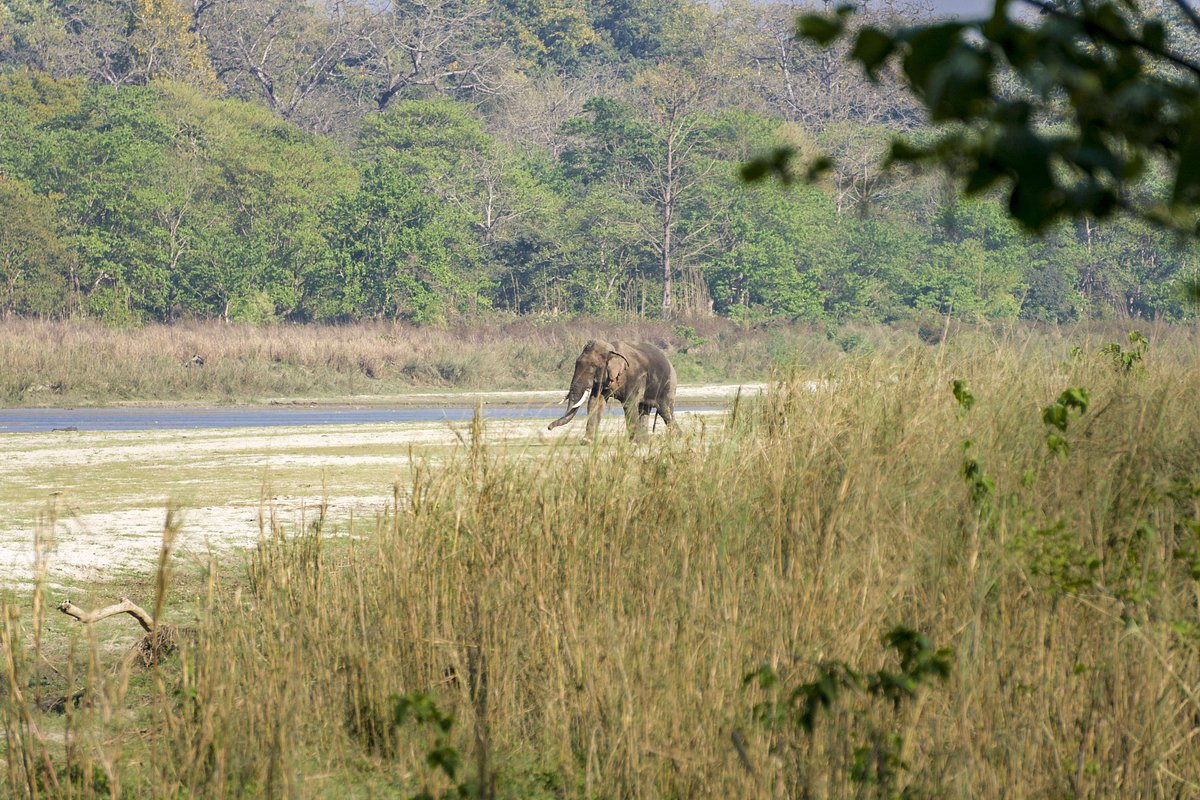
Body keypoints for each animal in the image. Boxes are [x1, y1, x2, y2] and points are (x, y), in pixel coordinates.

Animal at [547, 339, 677, 441]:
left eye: (592, 366)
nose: (549, 427)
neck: (612, 349)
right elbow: (595, 402)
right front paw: (587, 441)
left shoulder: (636, 376)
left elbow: (629, 404)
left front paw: (634, 441)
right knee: (645, 409)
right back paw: (647, 440)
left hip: (668, 385)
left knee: (664, 410)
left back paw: (676, 437)